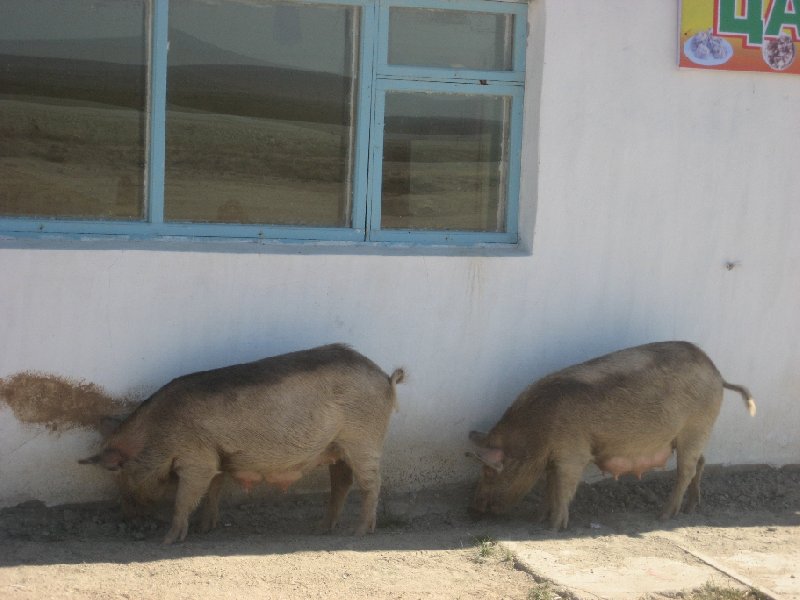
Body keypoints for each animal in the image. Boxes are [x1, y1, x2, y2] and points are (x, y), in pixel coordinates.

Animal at [79, 342, 406, 544]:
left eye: (119, 475)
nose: (127, 516)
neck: (156, 433)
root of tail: (386, 377)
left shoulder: (197, 457)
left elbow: (186, 497)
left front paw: (168, 540)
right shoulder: (217, 456)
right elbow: (213, 489)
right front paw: (205, 529)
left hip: (364, 439)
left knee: (370, 483)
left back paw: (358, 533)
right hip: (336, 447)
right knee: (341, 482)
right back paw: (323, 528)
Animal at [466, 342, 752, 528]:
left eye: (488, 471)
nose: (473, 508)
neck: (535, 431)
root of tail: (718, 374)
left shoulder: (574, 451)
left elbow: (563, 486)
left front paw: (554, 527)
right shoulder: (553, 458)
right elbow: (550, 485)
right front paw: (537, 519)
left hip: (696, 427)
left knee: (687, 470)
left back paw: (664, 516)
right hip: (694, 434)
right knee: (701, 463)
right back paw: (691, 508)